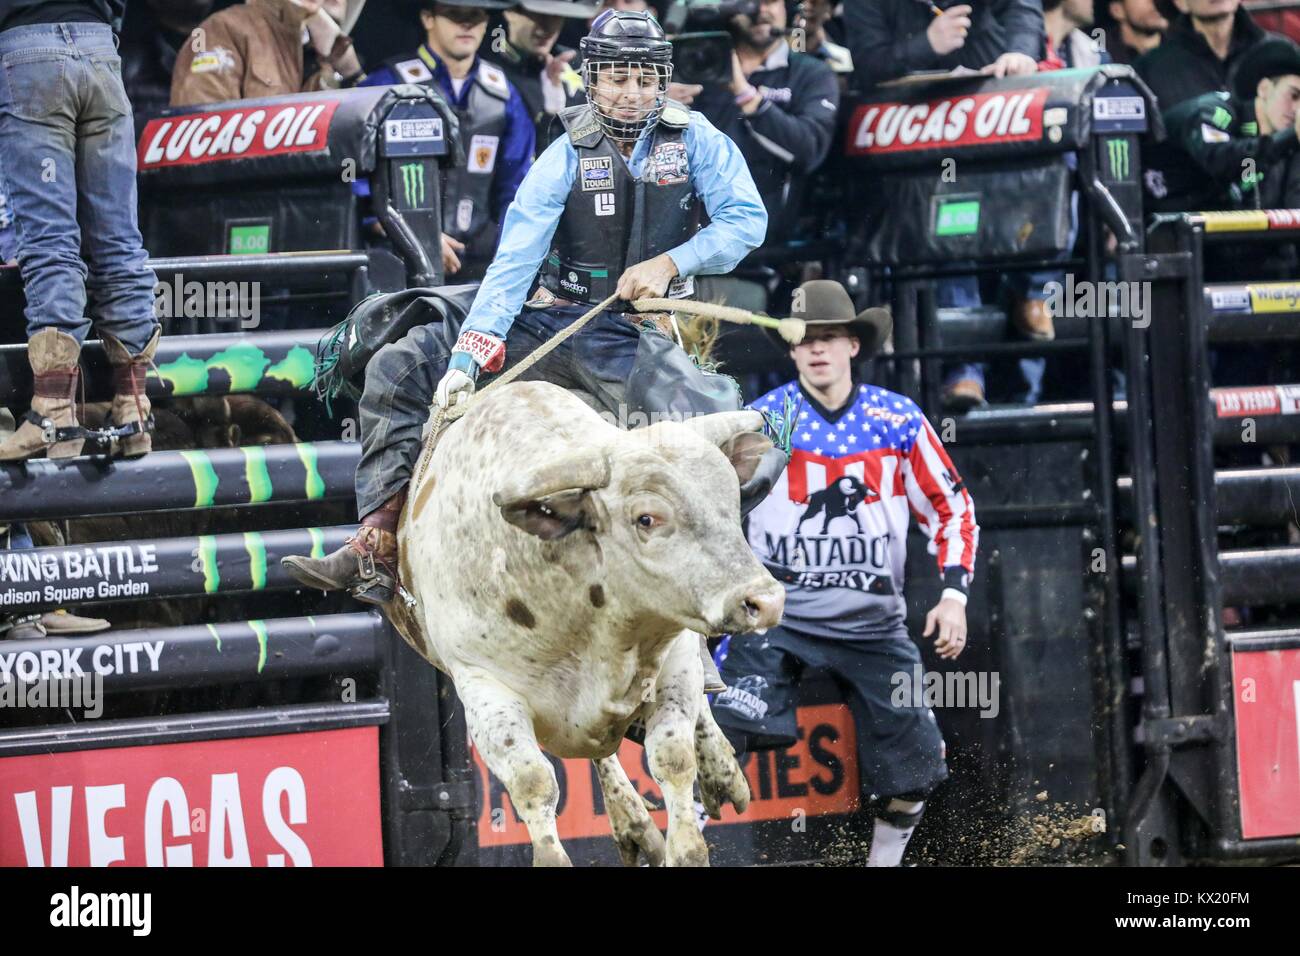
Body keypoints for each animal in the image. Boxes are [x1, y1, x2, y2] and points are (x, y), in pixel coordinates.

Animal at [384, 382, 785, 868]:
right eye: (647, 518)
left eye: (731, 501)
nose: (765, 601)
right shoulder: (483, 687)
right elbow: (533, 781)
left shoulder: (675, 652)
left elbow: (673, 755)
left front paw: (688, 841)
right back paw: (632, 822)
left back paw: (718, 776)